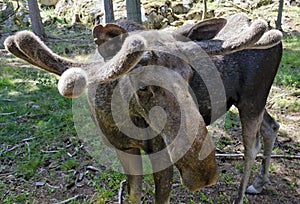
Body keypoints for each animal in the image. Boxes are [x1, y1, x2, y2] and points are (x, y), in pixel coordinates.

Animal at [3, 13, 282, 204]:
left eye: (190, 73)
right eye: (144, 85)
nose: (204, 174)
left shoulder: (161, 152)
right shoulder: (123, 148)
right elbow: (133, 195)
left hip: (252, 99)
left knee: (250, 147)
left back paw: (241, 195)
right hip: (250, 101)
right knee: (271, 126)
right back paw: (259, 183)